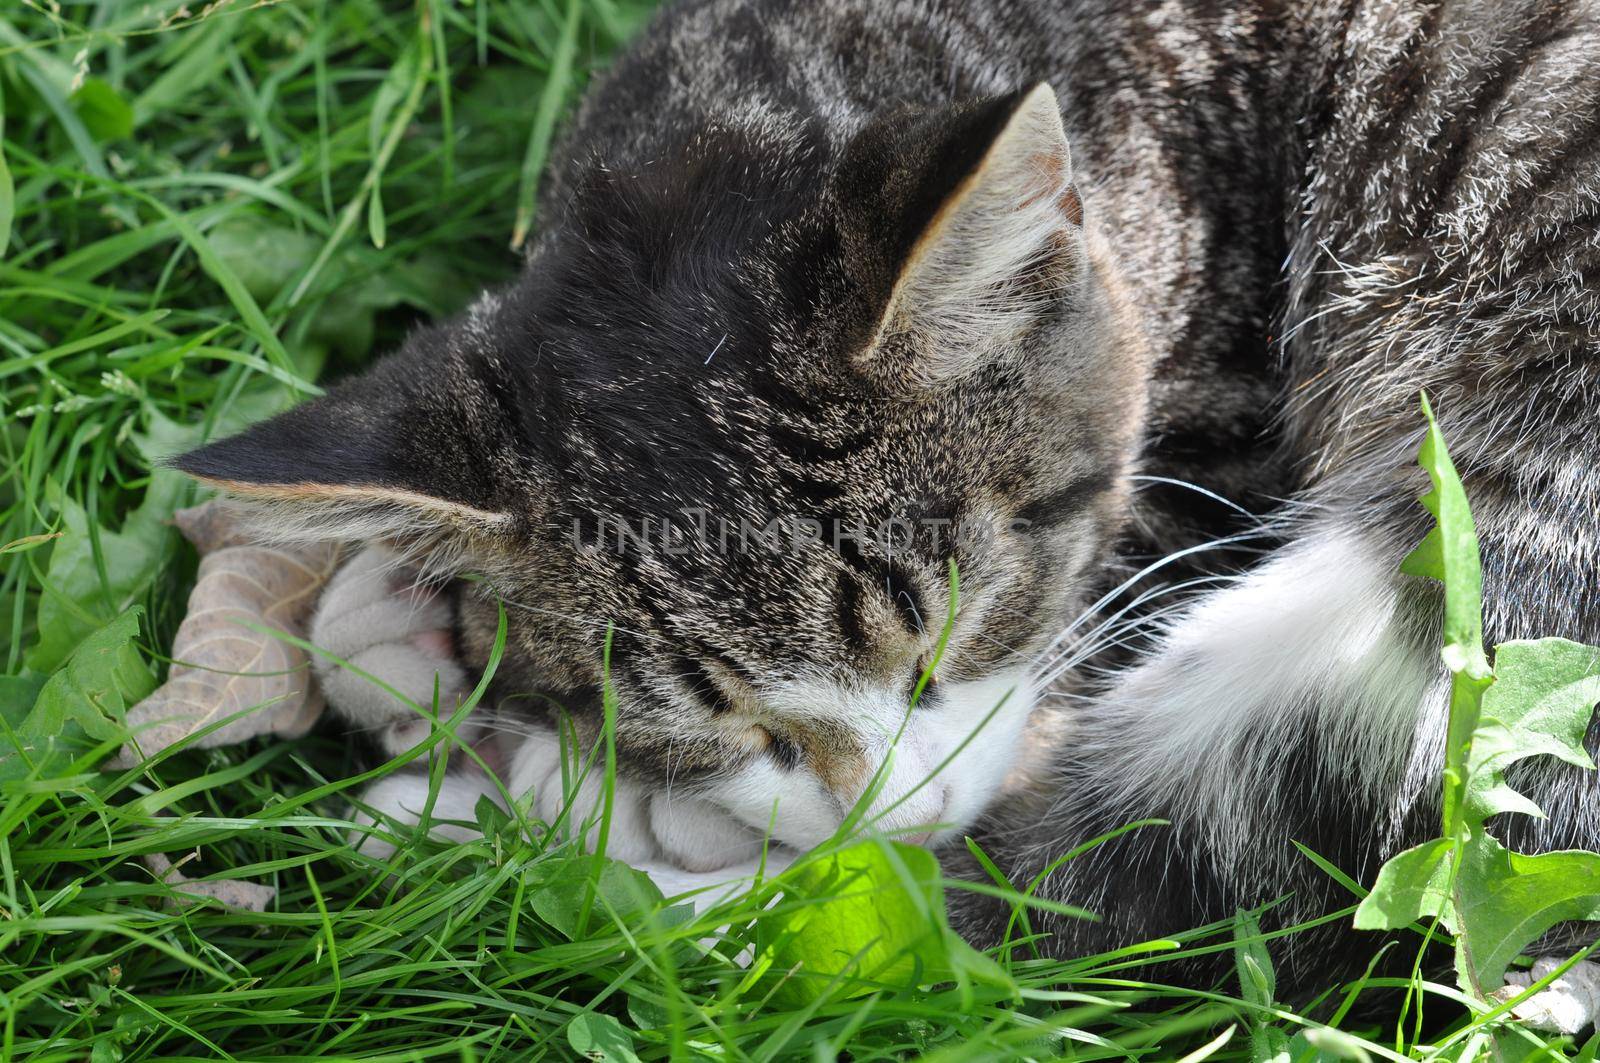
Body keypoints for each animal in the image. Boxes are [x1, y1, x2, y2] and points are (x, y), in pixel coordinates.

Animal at [175, 0, 1600, 1005]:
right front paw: (418, 611)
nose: (891, 805)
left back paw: (493, 827)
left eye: (940, 632)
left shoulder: (1211, 461)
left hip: (1487, 571)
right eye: (726, 717)